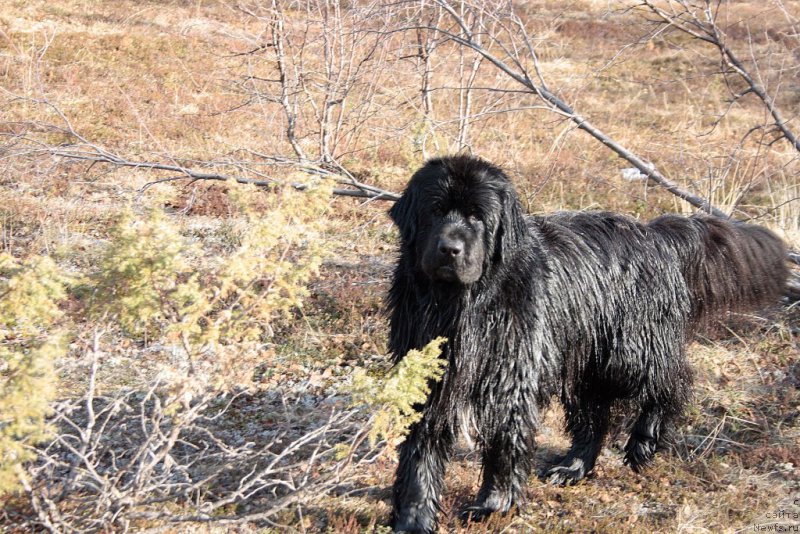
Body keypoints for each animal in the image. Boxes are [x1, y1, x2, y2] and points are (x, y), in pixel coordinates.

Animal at [388, 154, 788, 532]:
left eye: (477, 217)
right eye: (435, 211)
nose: (449, 249)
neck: (463, 304)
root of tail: (654, 234)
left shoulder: (511, 379)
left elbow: (504, 444)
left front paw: (492, 506)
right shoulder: (428, 378)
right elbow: (420, 449)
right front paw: (413, 519)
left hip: (628, 351)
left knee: (671, 383)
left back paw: (643, 443)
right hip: (587, 361)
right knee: (593, 416)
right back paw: (573, 468)